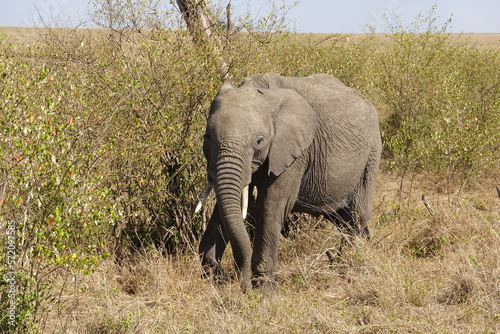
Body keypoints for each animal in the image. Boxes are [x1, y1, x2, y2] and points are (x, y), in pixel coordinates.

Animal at [195, 72, 382, 290]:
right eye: (207, 137)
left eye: (259, 141)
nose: (242, 283)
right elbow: (224, 207)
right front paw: (215, 277)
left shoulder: (295, 153)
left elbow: (270, 208)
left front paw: (264, 292)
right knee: (343, 220)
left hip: (371, 157)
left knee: (355, 218)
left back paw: (349, 272)